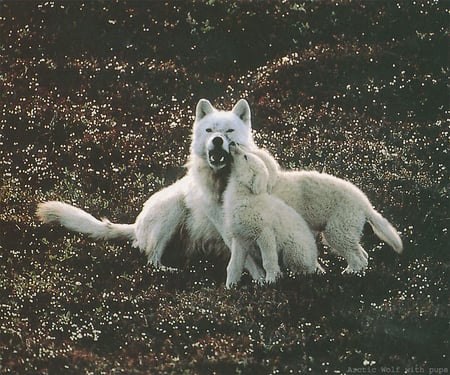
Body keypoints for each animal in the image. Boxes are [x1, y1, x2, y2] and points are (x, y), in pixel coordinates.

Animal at [223, 145, 318, 286]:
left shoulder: (265, 234)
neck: (246, 195)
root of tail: (315, 261)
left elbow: (268, 261)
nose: (232, 143)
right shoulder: (240, 238)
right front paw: (230, 286)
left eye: (245, 157)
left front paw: (270, 281)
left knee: (302, 270)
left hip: (293, 249)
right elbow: (234, 265)